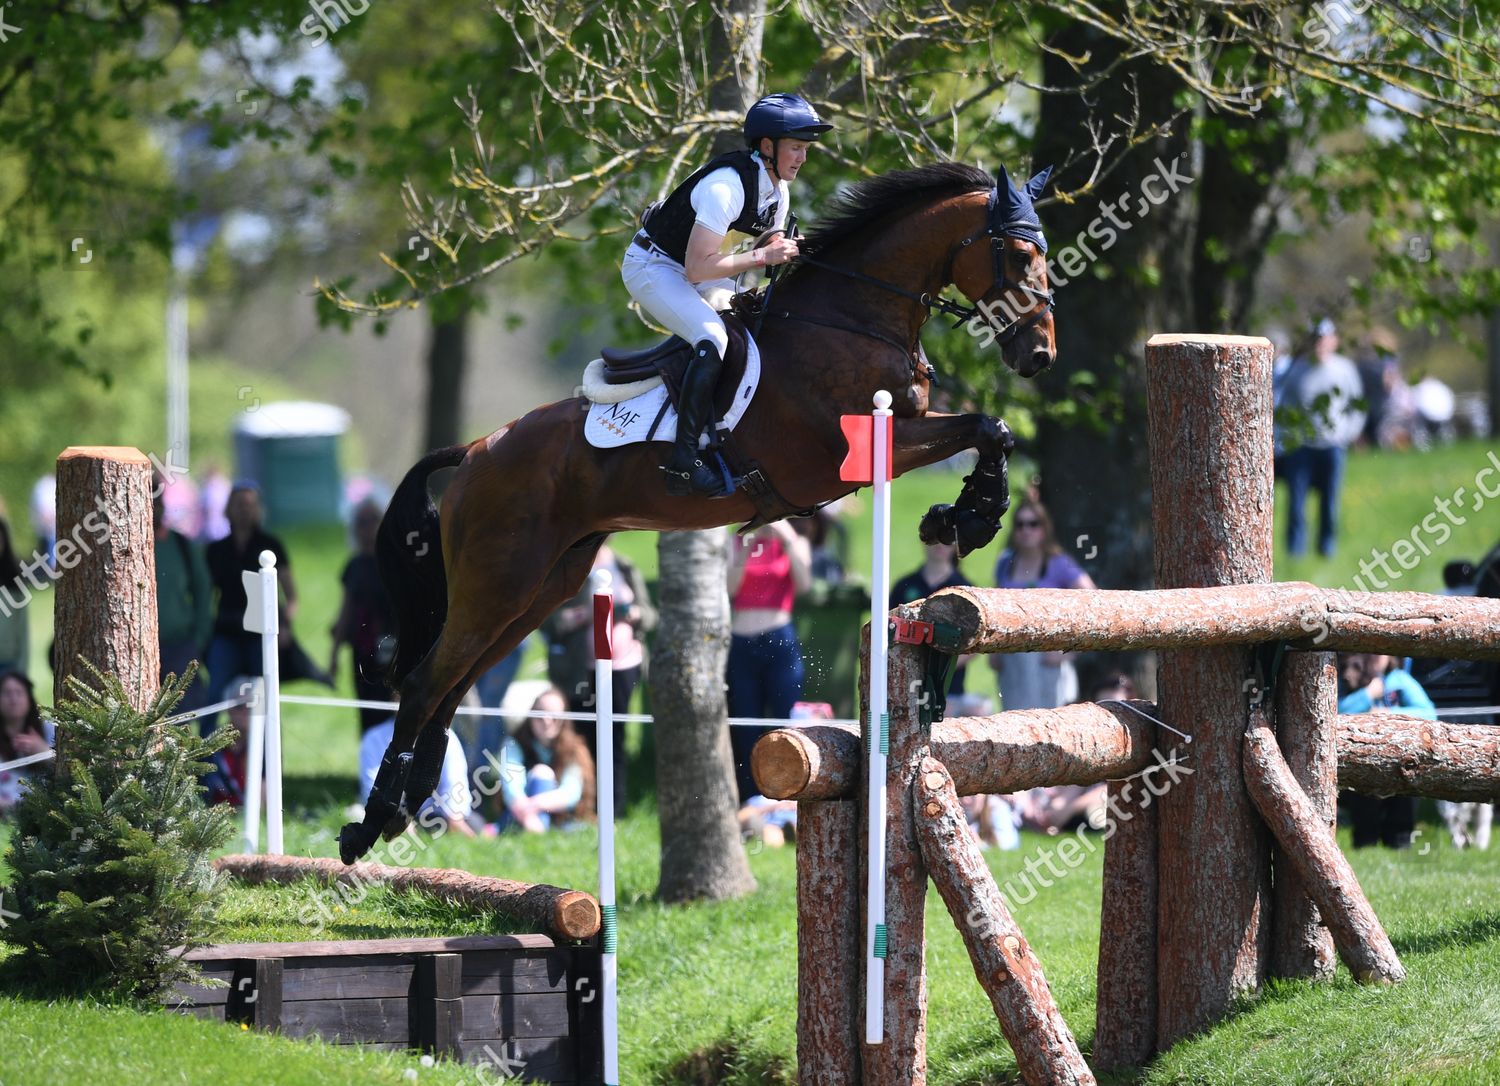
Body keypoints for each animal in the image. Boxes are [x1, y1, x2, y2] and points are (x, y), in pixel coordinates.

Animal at [345, 159, 1062, 864]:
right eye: (1020, 254)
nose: (1041, 355)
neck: (849, 320)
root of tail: (474, 452)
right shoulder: (846, 453)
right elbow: (985, 426)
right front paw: (971, 514)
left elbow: (990, 428)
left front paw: (965, 515)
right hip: (500, 581)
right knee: (427, 681)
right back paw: (369, 823)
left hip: (546, 586)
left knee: (454, 683)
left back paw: (406, 805)